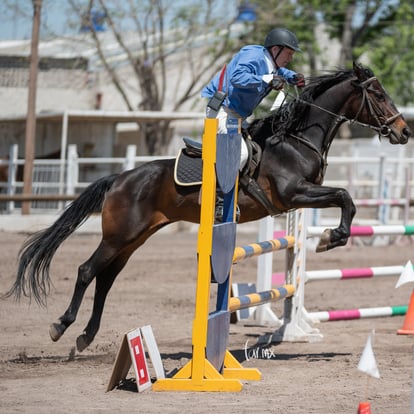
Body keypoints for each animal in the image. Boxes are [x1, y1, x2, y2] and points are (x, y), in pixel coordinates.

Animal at [4, 62, 412, 352]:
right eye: (378, 94)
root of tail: (120, 178)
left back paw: (86, 336)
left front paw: (333, 236)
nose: (404, 131)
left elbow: (344, 197)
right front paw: (332, 237)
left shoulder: (302, 195)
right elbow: (345, 196)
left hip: (134, 239)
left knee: (106, 279)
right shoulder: (294, 194)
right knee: (87, 271)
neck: (295, 139)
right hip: (118, 236)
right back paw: (62, 326)